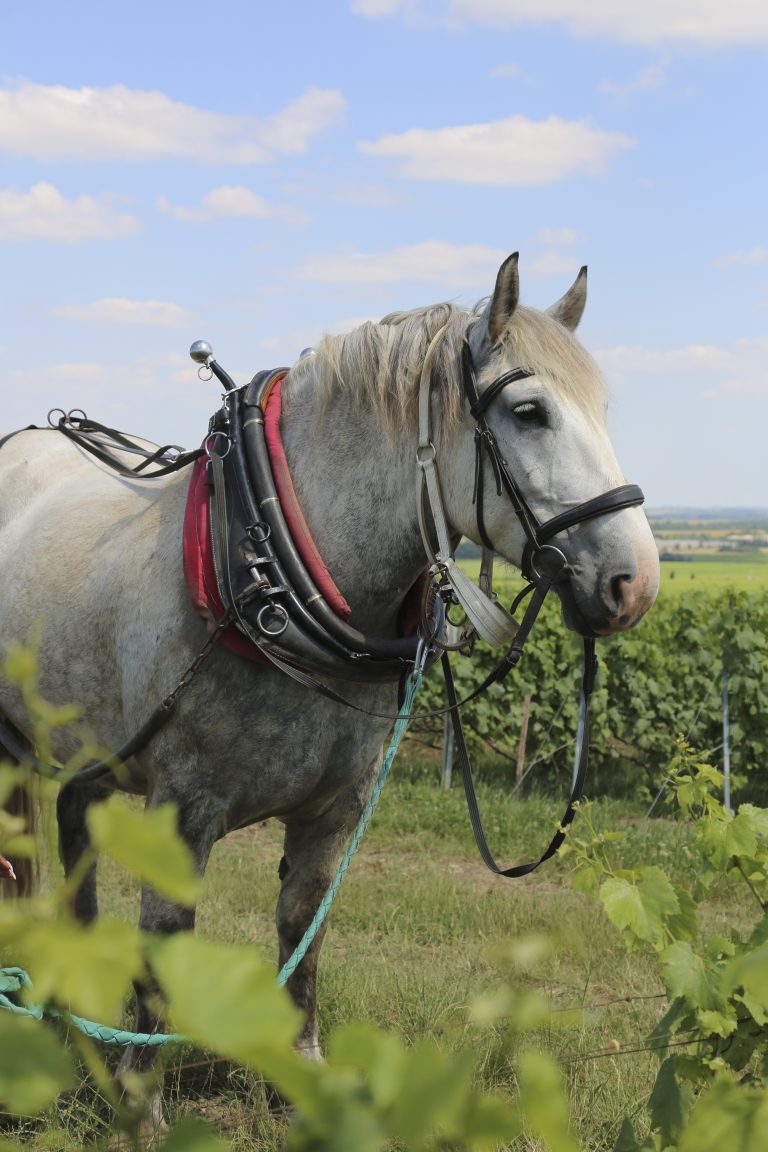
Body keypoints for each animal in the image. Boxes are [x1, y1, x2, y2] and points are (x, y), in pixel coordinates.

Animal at [0, 254, 659, 1079]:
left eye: (602, 407)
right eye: (531, 411)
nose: (635, 583)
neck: (269, 567)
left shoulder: (337, 805)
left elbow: (302, 927)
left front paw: (303, 1073)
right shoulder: (181, 810)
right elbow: (164, 944)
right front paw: (139, 1088)